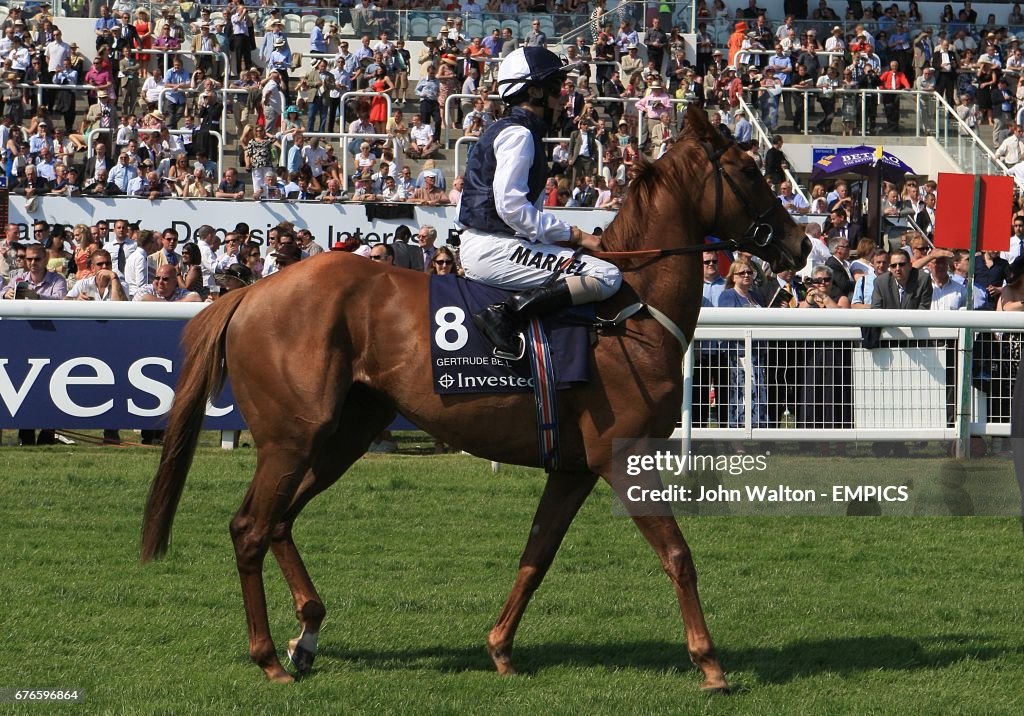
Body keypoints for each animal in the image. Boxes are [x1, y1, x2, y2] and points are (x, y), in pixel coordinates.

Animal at [142, 106, 806, 688]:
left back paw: (305, 635)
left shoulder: (572, 469)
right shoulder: (622, 457)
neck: (630, 311)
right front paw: (710, 664)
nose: (800, 246)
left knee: (280, 521)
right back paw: (268, 658)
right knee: (250, 526)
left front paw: (501, 649)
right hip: (292, 437)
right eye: (749, 171)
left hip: (344, 432)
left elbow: (537, 554)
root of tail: (250, 293)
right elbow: (678, 555)